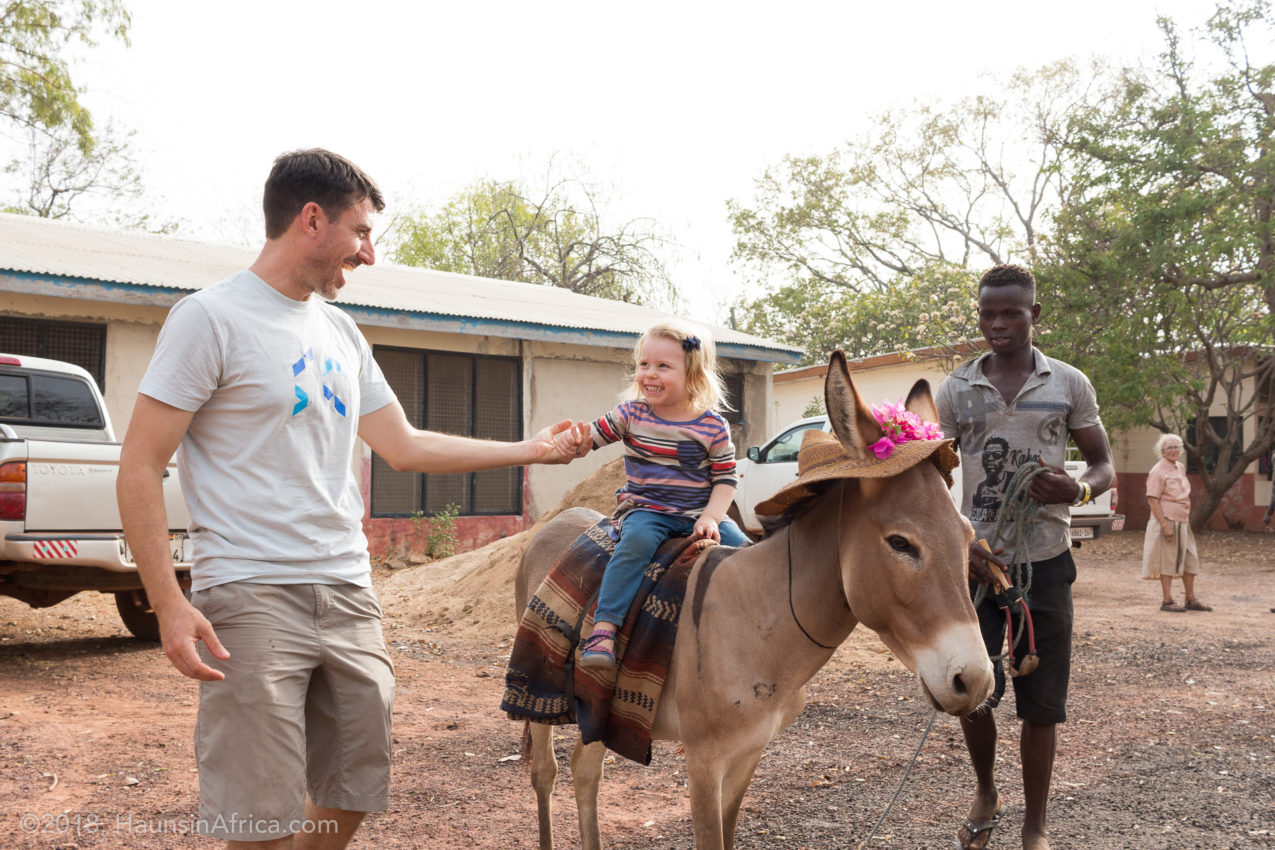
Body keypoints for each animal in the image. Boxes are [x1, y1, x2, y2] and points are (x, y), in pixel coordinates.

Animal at [513, 352, 994, 850]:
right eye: (901, 543)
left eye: (968, 538)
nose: (975, 681)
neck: (760, 620)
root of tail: (558, 520)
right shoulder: (704, 761)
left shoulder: (749, 753)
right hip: (542, 693)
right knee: (546, 771)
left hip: (597, 705)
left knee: (584, 770)